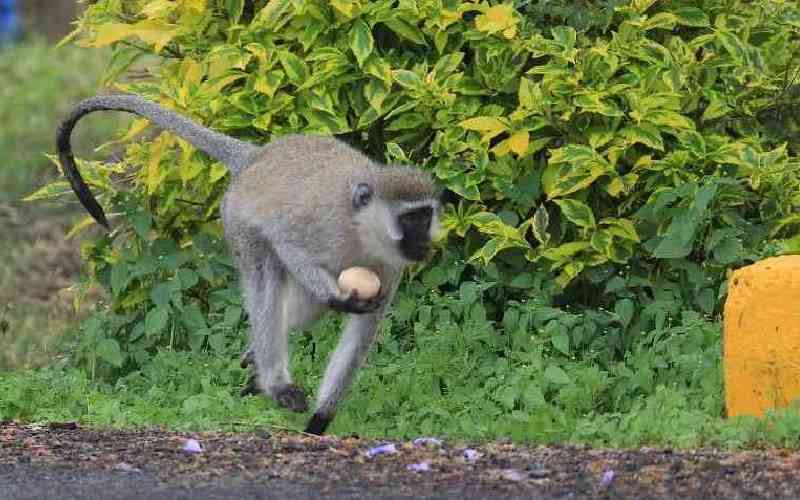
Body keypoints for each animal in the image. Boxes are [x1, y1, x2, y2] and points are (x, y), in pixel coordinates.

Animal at [56, 94, 440, 435]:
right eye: (410, 219)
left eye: (426, 216)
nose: (425, 242)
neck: (362, 233)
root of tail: (259, 156)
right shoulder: (324, 229)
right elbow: (289, 246)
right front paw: (340, 299)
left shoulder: (389, 269)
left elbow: (362, 332)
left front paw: (319, 423)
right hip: (238, 219)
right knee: (266, 279)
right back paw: (275, 382)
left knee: (301, 307)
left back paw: (255, 360)